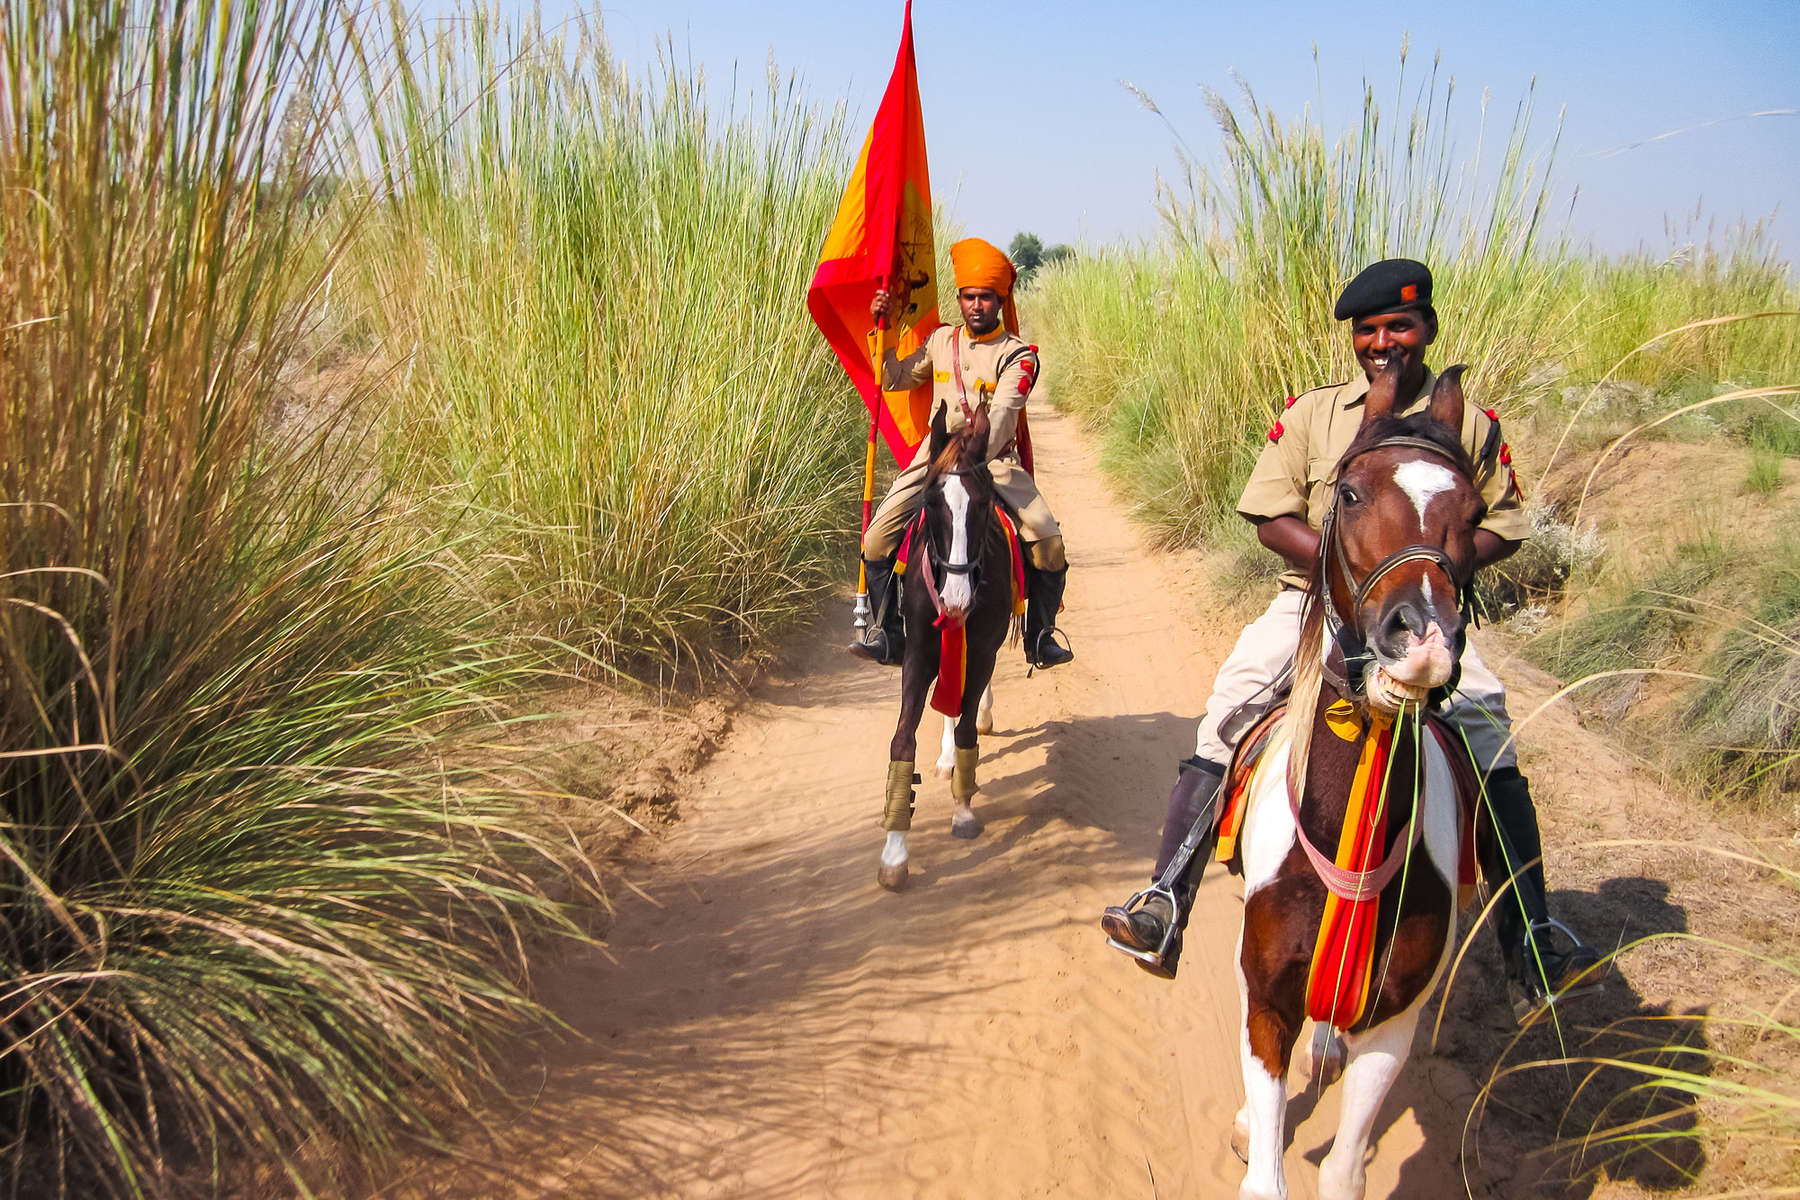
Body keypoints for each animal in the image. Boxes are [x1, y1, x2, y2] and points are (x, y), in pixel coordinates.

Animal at [878, 408, 1022, 888]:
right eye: (931, 502)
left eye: (982, 503)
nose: (957, 599)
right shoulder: (919, 652)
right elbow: (904, 739)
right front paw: (894, 853)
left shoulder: (981, 650)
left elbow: (965, 728)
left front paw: (963, 811)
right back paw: (944, 759)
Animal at [1231, 363, 1483, 1200]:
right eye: (1348, 493)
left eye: (1474, 511)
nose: (1424, 639)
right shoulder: (1266, 1002)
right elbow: (1267, 1172)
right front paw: (1255, 1126)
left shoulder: (1392, 1027)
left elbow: (1343, 1173)